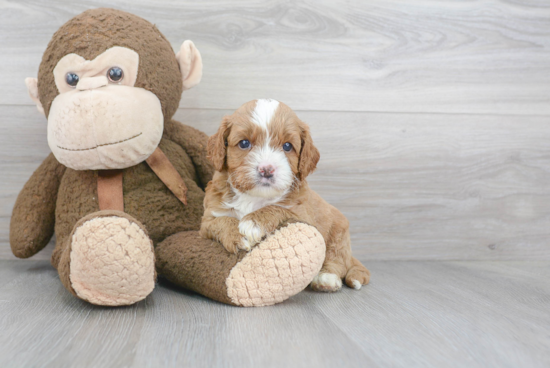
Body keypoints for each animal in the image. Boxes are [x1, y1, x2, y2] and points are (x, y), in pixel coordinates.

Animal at [201, 99, 374, 292]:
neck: (255, 197)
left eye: (287, 146)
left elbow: (278, 208)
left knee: (336, 259)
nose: (266, 169)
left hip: (339, 233)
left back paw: (326, 278)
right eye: (244, 143)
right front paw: (237, 235)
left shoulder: (304, 216)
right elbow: (219, 222)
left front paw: (253, 222)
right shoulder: (207, 220)